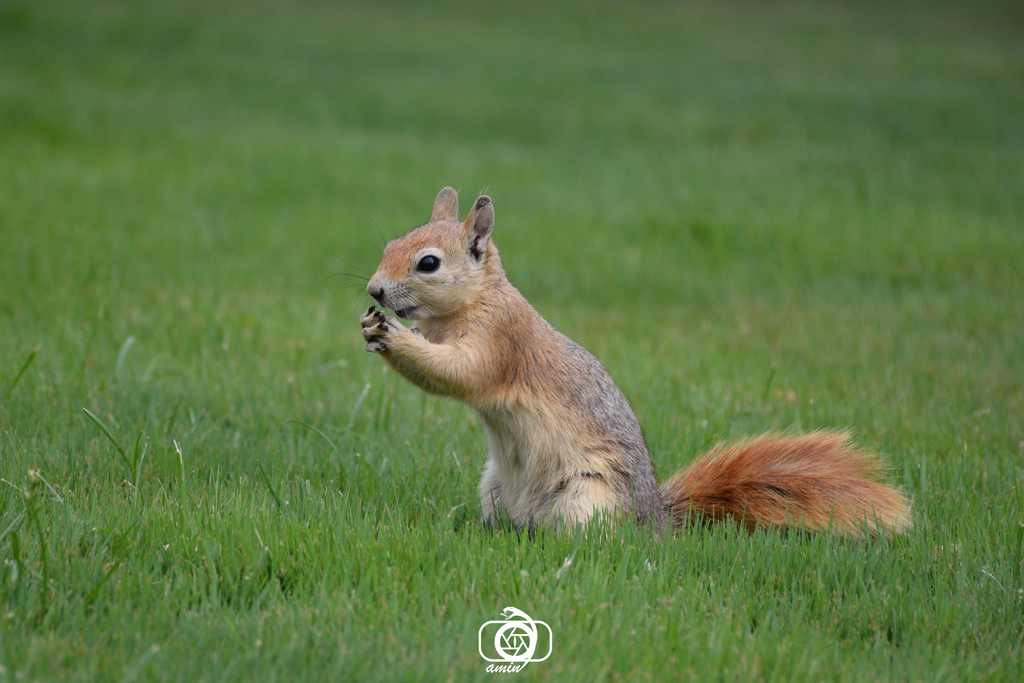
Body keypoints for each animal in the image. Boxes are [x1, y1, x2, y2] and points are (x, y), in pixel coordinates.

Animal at [359, 187, 912, 536]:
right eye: (389, 244)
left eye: (429, 263)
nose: (374, 290)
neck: (464, 307)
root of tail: (654, 522)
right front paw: (373, 329)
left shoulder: (501, 340)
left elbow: (462, 375)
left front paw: (392, 335)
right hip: (495, 488)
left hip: (589, 497)